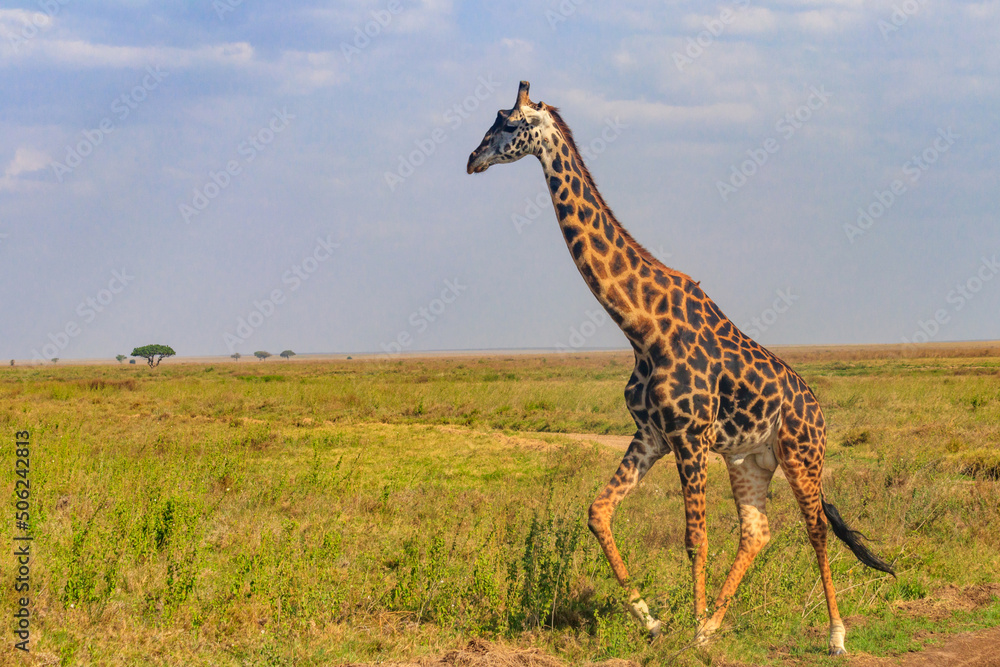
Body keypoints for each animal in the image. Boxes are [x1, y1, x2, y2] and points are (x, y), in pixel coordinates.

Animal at [467, 82, 895, 656]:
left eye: (510, 124)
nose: (473, 159)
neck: (641, 327)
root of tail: (816, 406)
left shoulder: (690, 437)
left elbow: (695, 539)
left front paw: (691, 634)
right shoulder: (652, 434)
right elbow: (599, 512)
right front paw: (654, 621)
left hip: (803, 455)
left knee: (816, 531)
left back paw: (834, 635)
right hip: (750, 460)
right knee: (757, 531)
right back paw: (717, 621)